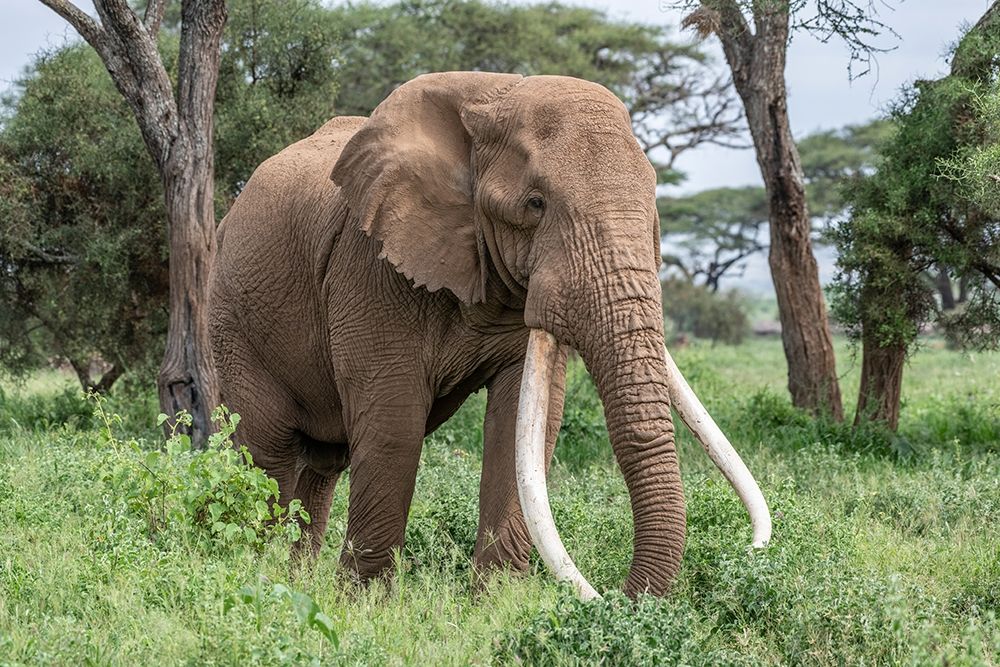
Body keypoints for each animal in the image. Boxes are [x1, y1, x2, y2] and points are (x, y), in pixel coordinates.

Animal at [209, 71, 770, 599]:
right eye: (536, 204)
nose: (619, 596)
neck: (494, 95)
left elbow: (521, 428)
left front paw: (494, 603)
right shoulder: (369, 265)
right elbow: (393, 420)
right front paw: (364, 604)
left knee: (324, 463)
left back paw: (297, 580)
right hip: (232, 323)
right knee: (269, 452)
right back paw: (257, 576)